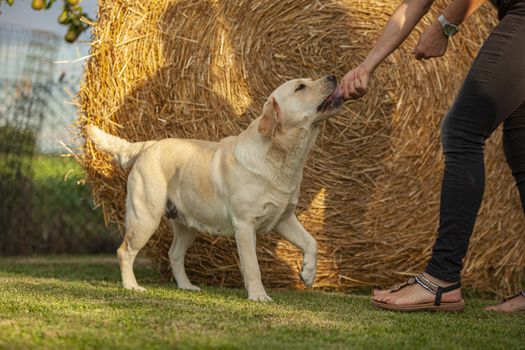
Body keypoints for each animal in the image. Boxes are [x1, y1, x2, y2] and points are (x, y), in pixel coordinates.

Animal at [86, 76, 342, 300]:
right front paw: (259, 296)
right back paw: (132, 286)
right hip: (145, 217)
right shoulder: (245, 225)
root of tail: (148, 145)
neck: (284, 158)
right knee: (125, 251)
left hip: (186, 224)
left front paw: (308, 274)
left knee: (174, 254)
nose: (333, 76)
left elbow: (311, 242)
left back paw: (187, 286)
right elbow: (253, 266)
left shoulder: (283, 218)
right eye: (300, 87)